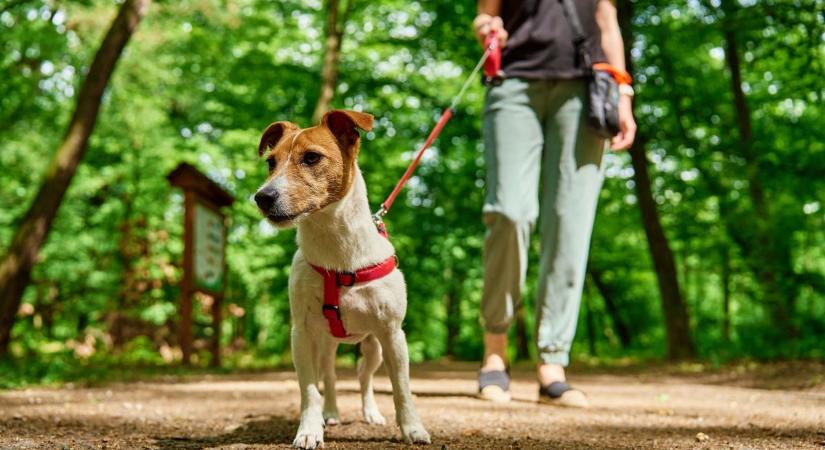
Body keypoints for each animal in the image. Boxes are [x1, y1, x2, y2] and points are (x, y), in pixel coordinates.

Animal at [253, 110, 432, 450]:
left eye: (311, 157)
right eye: (271, 162)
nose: (262, 197)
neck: (337, 254)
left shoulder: (393, 335)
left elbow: (402, 389)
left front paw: (413, 429)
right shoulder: (301, 335)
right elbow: (309, 390)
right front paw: (309, 430)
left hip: (375, 346)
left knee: (364, 376)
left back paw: (370, 412)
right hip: (325, 344)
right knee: (331, 376)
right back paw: (331, 413)